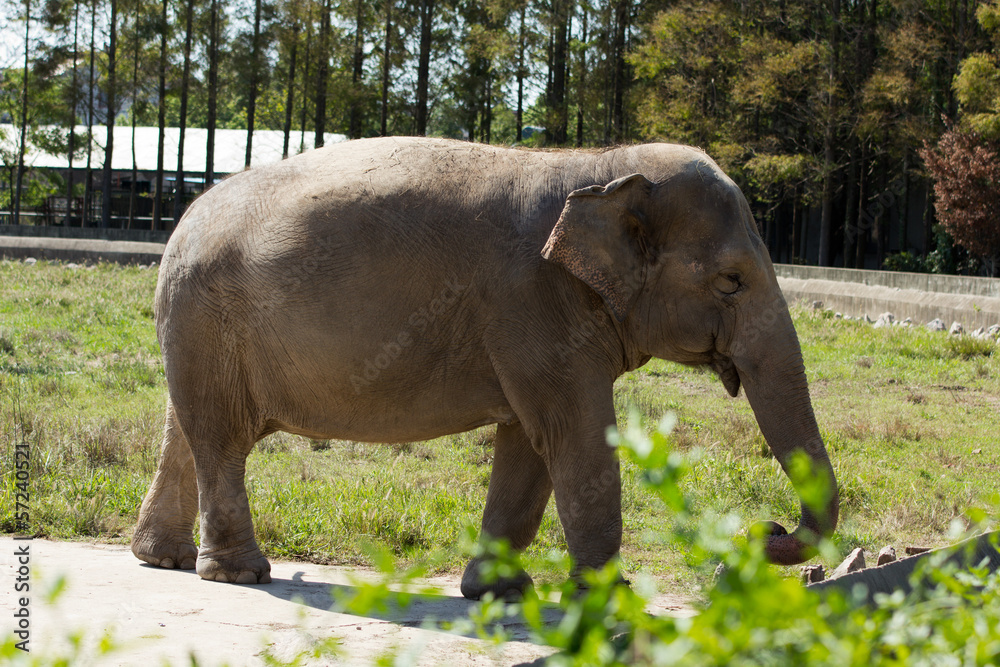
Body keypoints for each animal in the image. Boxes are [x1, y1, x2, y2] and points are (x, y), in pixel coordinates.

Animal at [131, 136, 839, 599]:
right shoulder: (532, 302)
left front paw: (500, 594)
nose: (763, 530)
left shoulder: (534, 326)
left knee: (185, 432)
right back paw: (239, 574)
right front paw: (604, 604)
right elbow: (575, 438)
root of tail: (183, 217)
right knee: (222, 440)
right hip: (208, 320)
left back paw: (162, 560)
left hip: (196, 325)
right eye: (730, 282)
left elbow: (528, 445)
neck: (601, 166)